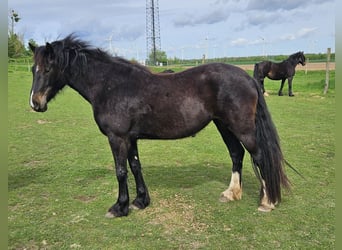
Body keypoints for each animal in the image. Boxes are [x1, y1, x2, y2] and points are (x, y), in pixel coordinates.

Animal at [28, 34, 288, 217]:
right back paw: (231, 194)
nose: (35, 102)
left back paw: (267, 202)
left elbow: (121, 171)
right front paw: (140, 202)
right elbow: (135, 167)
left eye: (48, 69)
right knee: (237, 154)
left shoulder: (117, 137)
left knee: (259, 156)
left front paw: (119, 207)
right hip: (224, 126)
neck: (111, 85)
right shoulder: (130, 138)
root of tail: (248, 78)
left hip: (242, 128)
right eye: (33, 69)